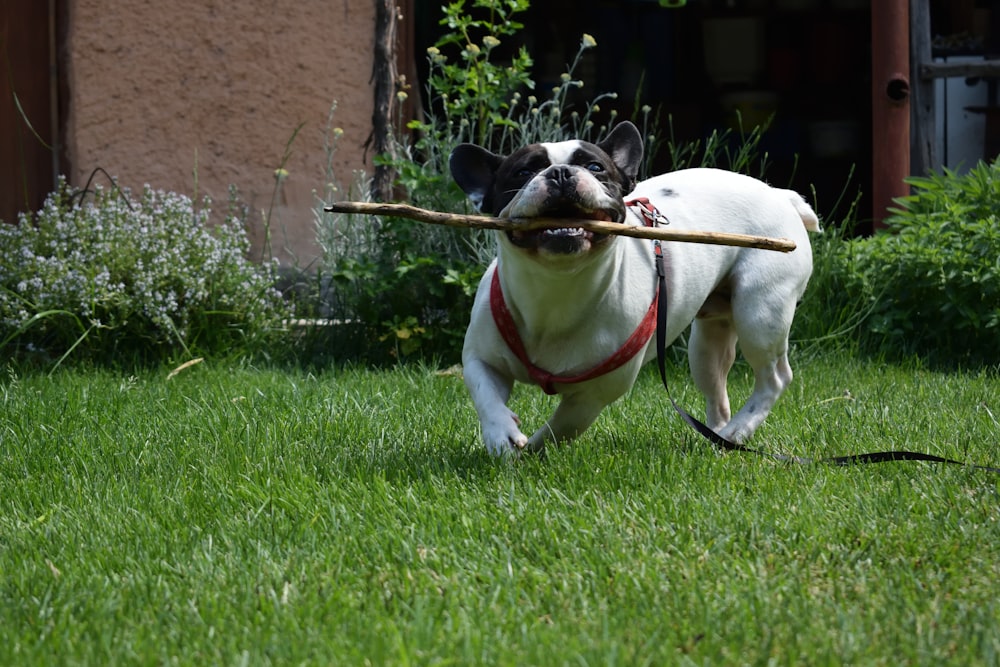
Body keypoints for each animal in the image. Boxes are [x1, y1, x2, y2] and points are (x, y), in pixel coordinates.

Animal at [450, 120, 816, 456]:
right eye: (523, 171)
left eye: (595, 167)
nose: (561, 172)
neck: (557, 285)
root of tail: (778, 195)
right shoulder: (480, 358)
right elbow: (485, 394)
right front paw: (501, 435)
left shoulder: (595, 393)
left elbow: (563, 426)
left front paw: (535, 451)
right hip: (707, 346)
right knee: (717, 389)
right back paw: (721, 438)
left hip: (760, 313)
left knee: (775, 378)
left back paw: (740, 429)